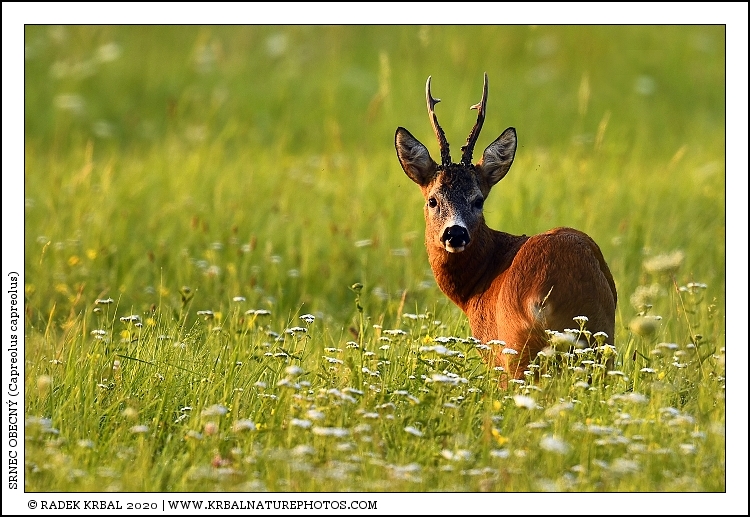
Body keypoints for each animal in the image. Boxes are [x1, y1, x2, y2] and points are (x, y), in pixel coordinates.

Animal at [394, 73, 617, 381]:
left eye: (478, 200)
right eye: (432, 200)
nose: (455, 233)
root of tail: (545, 294)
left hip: (516, 349)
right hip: (600, 337)